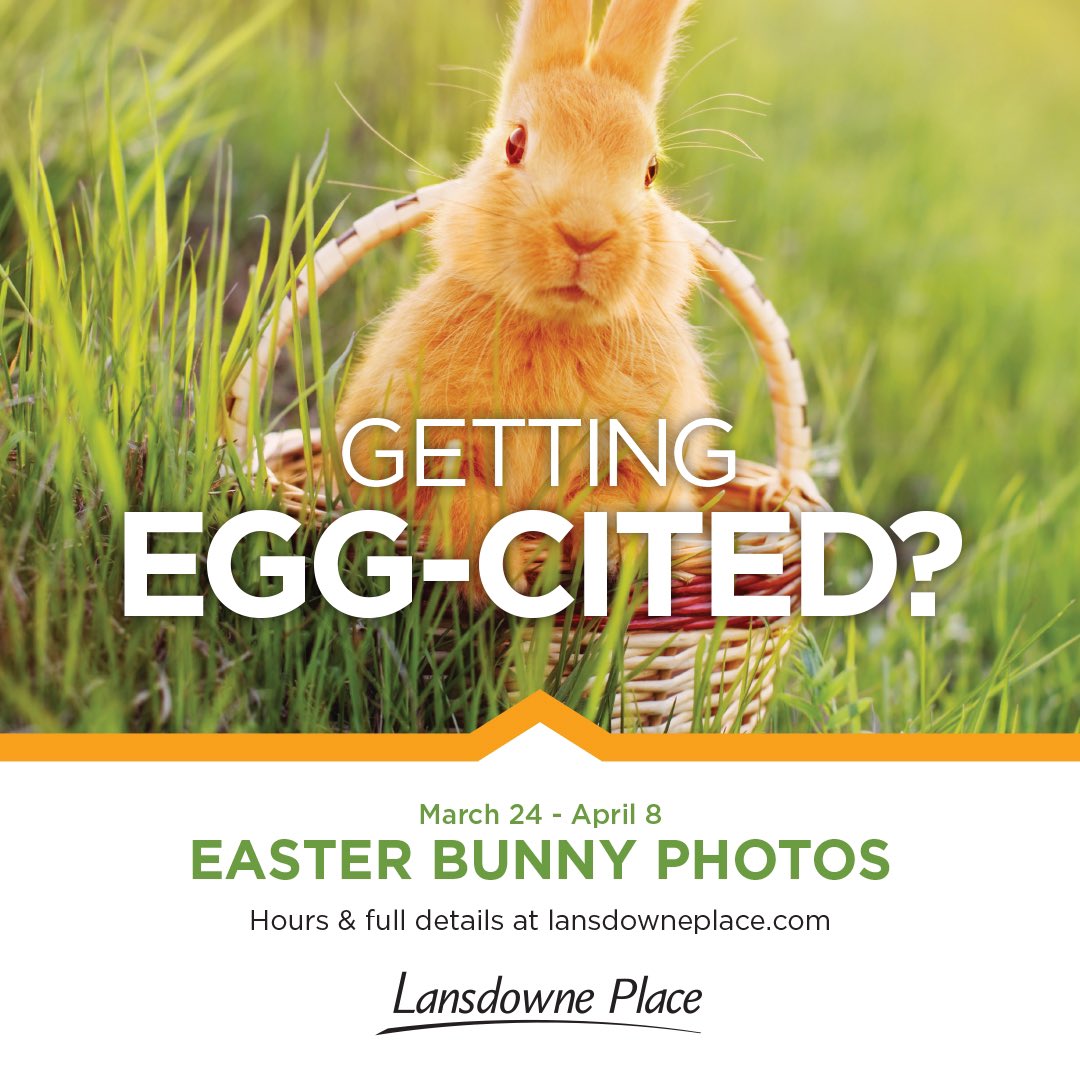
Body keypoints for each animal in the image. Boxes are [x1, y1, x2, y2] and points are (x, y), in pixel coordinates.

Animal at [335, 0, 713, 600]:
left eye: (651, 171)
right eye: (515, 143)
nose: (585, 233)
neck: (554, 326)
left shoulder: (639, 465)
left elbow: (607, 502)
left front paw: (601, 561)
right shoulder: (425, 451)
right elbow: (463, 504)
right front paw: (500, 579)